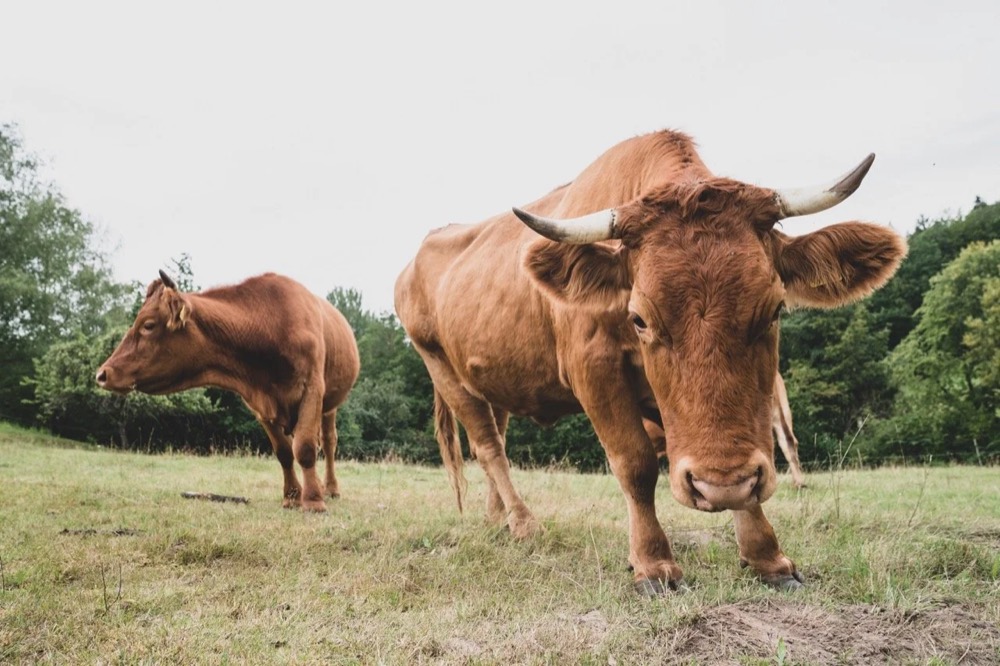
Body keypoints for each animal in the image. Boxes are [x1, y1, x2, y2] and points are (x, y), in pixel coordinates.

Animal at [96, 271, 360, 513]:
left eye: (148, 325)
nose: (102, 374)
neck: (271, 327)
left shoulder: (312, 390)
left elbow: (304, 448)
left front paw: (313, 500)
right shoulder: (260, 405)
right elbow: (284, 452)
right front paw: (293, 496)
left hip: (329, 406)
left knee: (328, 441)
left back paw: (330, 488)